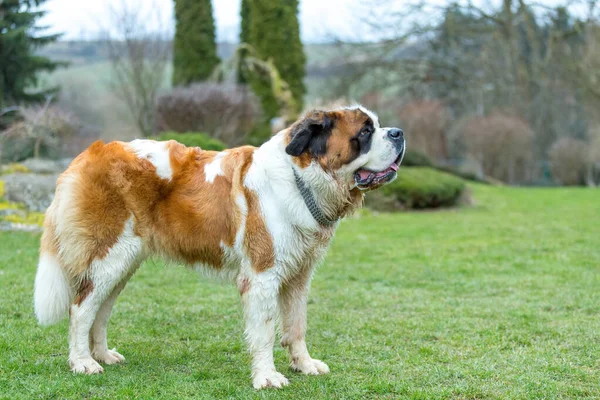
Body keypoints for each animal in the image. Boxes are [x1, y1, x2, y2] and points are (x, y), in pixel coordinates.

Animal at [35, 104, 406, 390]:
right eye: (366, 132)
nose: (399, 133)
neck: (301, 179)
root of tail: (87, 154)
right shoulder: (263, 275)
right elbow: (265, 329)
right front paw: (267, 377)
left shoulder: (299, 274)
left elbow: (297, 324)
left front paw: (304, 364)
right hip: (110, 256)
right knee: (81, 309)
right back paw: (82, 362)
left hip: (122, 263)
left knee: (100, 310)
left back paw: (102, 355)